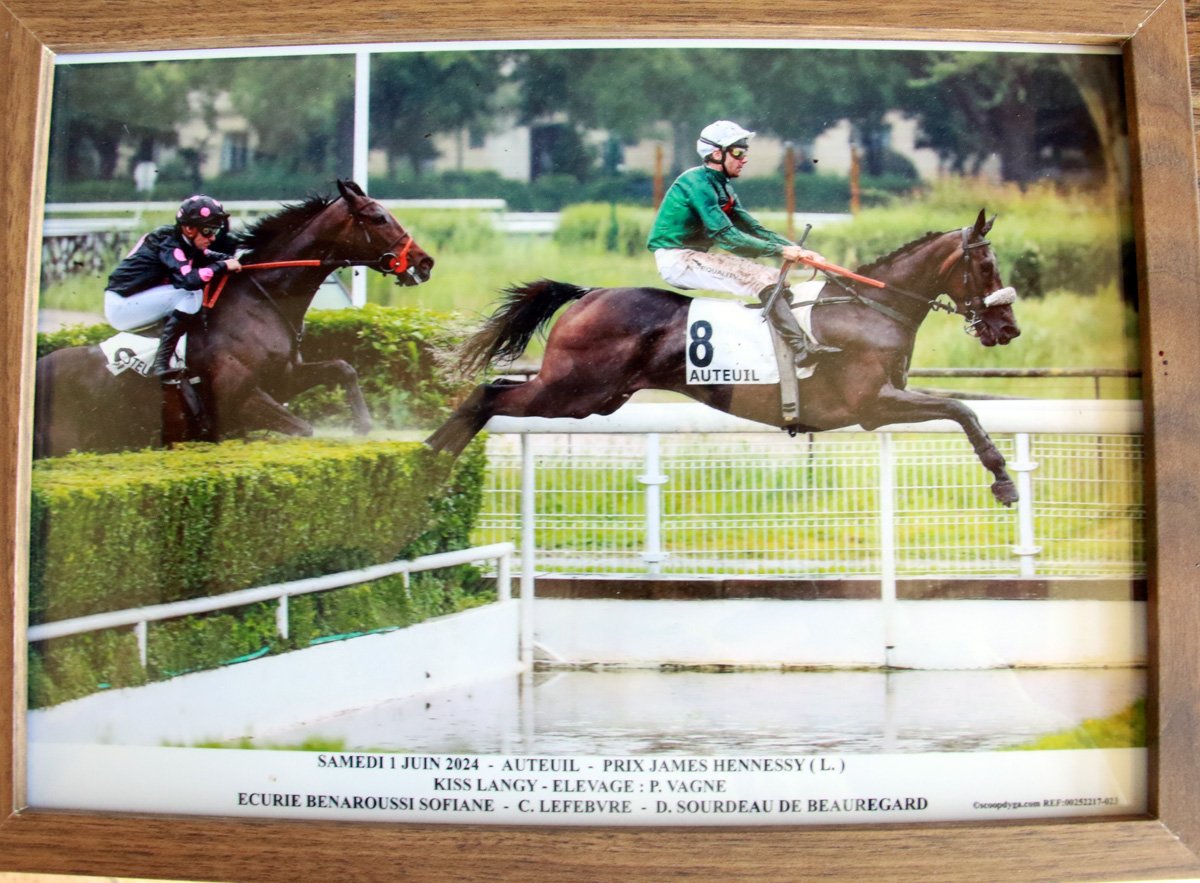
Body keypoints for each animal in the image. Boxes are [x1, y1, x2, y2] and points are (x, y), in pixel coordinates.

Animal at [33, 180, 434, 458]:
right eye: (379, 217)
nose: (424, 262)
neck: (260, 301)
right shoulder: (238, 399)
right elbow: (304, 429)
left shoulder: (284, 378)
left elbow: (342, 368)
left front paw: (363, 425)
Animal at [426, 210, 1023, 506]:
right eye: (986, 266)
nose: (1009, 328)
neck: (869, 306)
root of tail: (589, 293)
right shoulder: (872, 404)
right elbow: (961, 408)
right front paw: (1002, 479)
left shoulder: (880, 402)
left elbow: (960, 408)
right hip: (571, 391)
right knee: (487, 395)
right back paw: (430, 464)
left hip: (595, 398)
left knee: (489, 396)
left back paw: (430, 463)